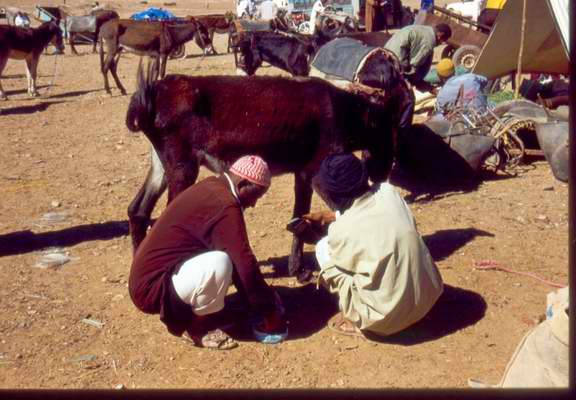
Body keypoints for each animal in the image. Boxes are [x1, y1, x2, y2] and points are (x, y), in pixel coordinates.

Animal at [125, 64, 410, 280]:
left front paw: (298, 269)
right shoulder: (316, 171)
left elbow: (299, 213)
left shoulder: (303, 174)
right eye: (387, 131)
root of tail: (151, 93)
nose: (384, 173)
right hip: (183, 168)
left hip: (163, 166)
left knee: (138, 210)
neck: (346, 113)